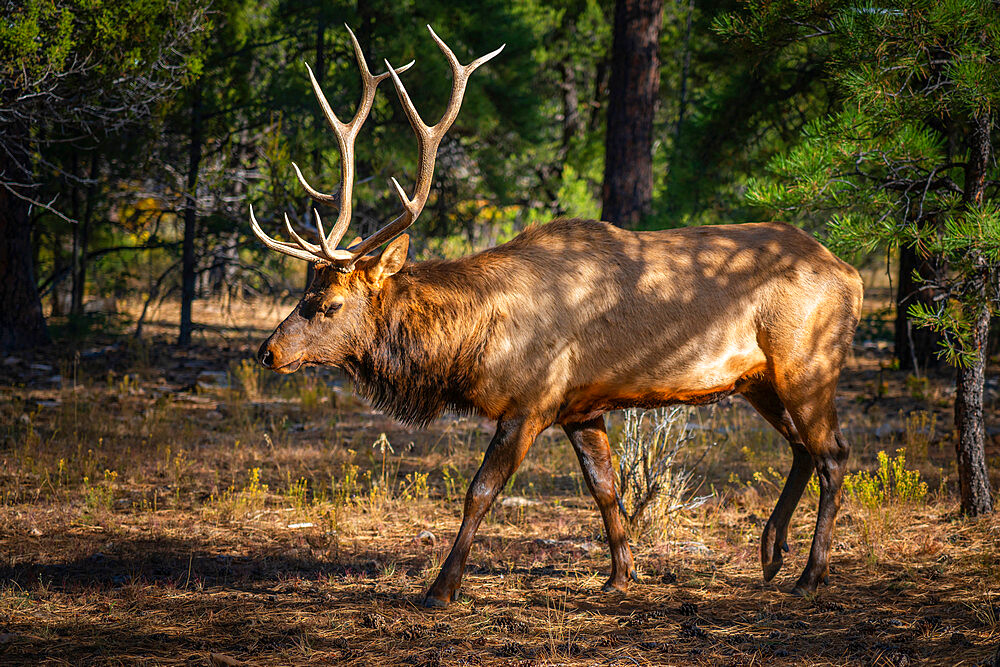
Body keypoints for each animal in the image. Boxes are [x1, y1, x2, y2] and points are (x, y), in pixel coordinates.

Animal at [248, 27, 860, 612]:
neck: (472, 345)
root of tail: (850, 275)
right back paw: (771, 552)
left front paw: (442, 588)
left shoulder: (530, 403)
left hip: (808, 364)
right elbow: (606, 489)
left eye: (330, 305)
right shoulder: (581, 407)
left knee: (833, 454)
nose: (268, 351)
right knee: (801, 448)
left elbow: (480, 492)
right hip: (757, 380)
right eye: (304, 293)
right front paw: (620, 576)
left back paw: (810, 576)